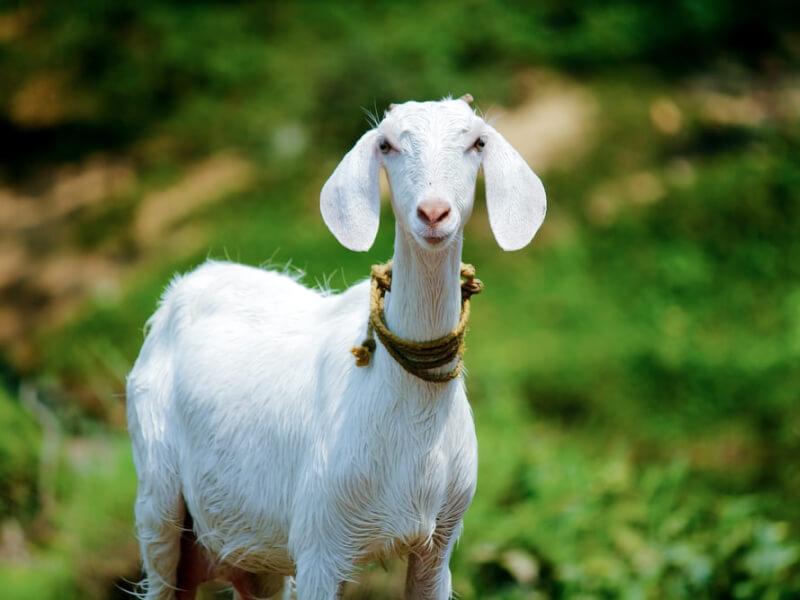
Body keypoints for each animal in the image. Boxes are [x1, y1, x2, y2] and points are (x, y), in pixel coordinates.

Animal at [126, 95, 546, 600]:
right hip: (158, 502)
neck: (408, 412)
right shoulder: (320, 543)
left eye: (477, 141)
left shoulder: (439, 542)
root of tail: (183, 286)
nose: (433, 213)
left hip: (253, 554)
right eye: (386, 144)